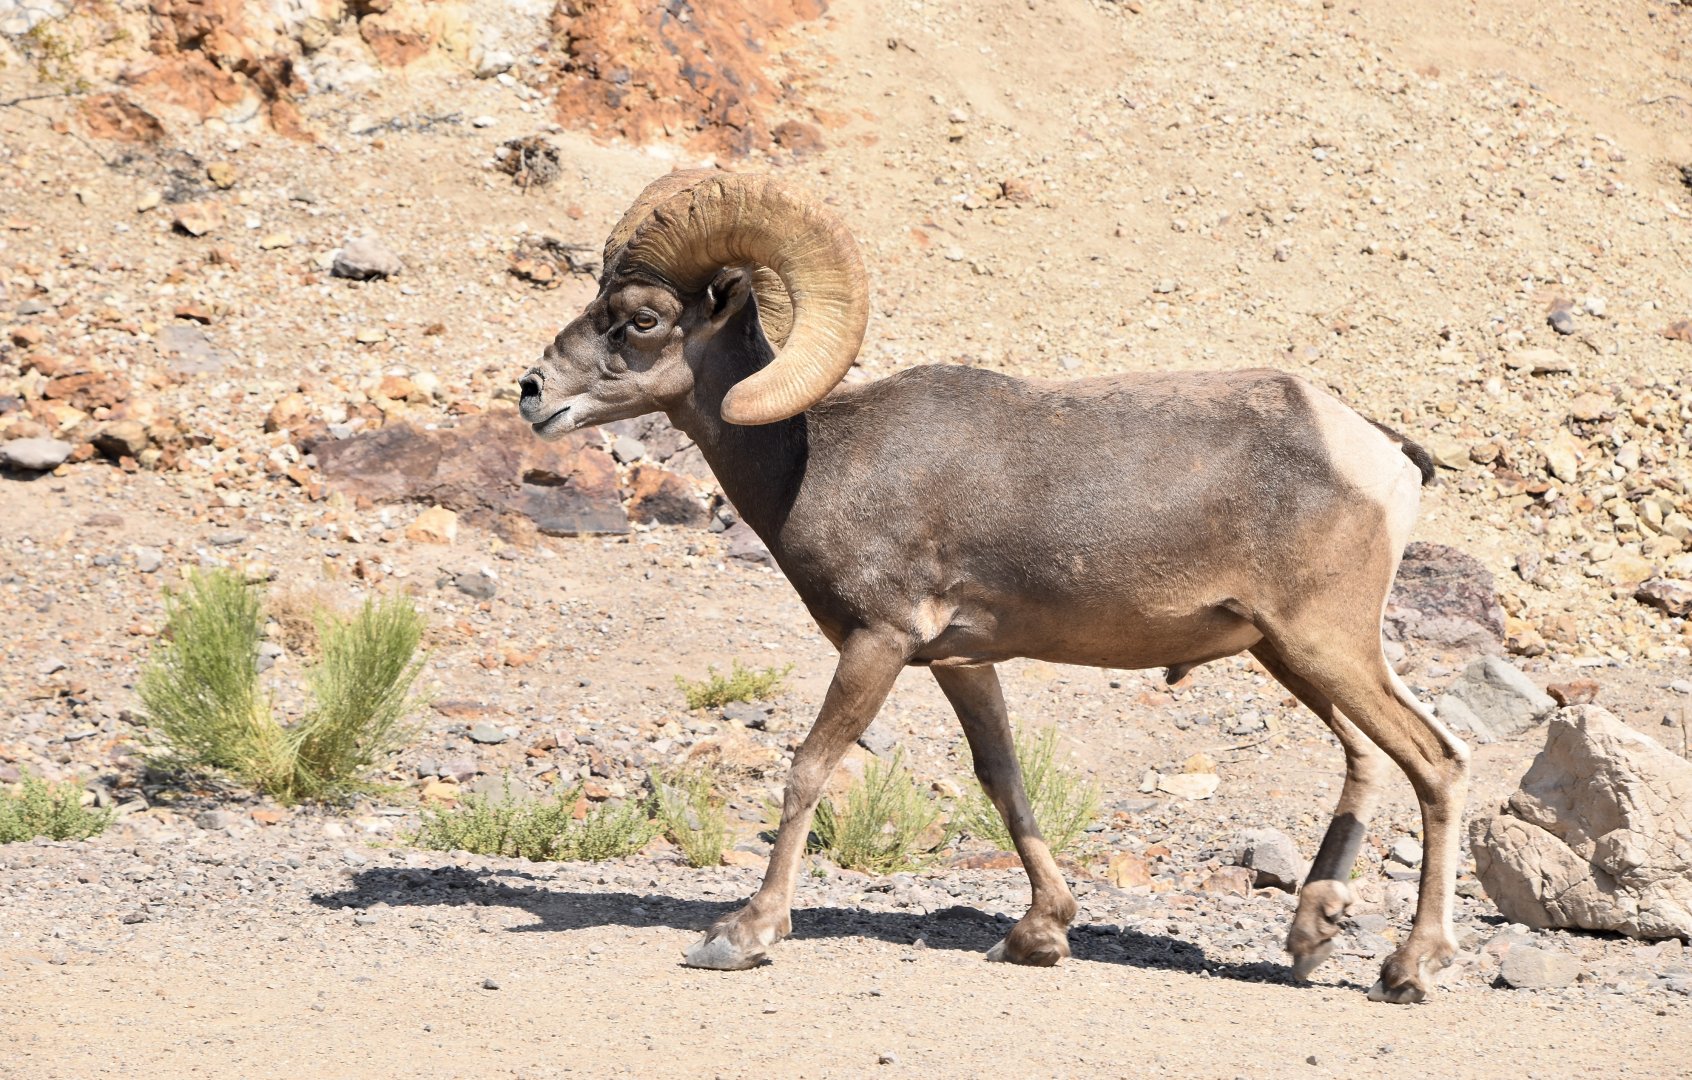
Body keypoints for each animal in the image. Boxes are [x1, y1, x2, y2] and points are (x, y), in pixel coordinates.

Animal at [517, 170, 1468, 1004]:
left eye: (641, 320)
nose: (531, 391)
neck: (813, 462)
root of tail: (1379, 451)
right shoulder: (961, 665)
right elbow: (1002, 780)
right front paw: (1039, 935)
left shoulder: (878, 645)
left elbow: (808, 769)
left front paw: (741, 936)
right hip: (1290, 655)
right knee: (1366, 759)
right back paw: (1312, 937)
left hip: (1326, 645)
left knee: (1436, 763)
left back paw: (1407, 970)